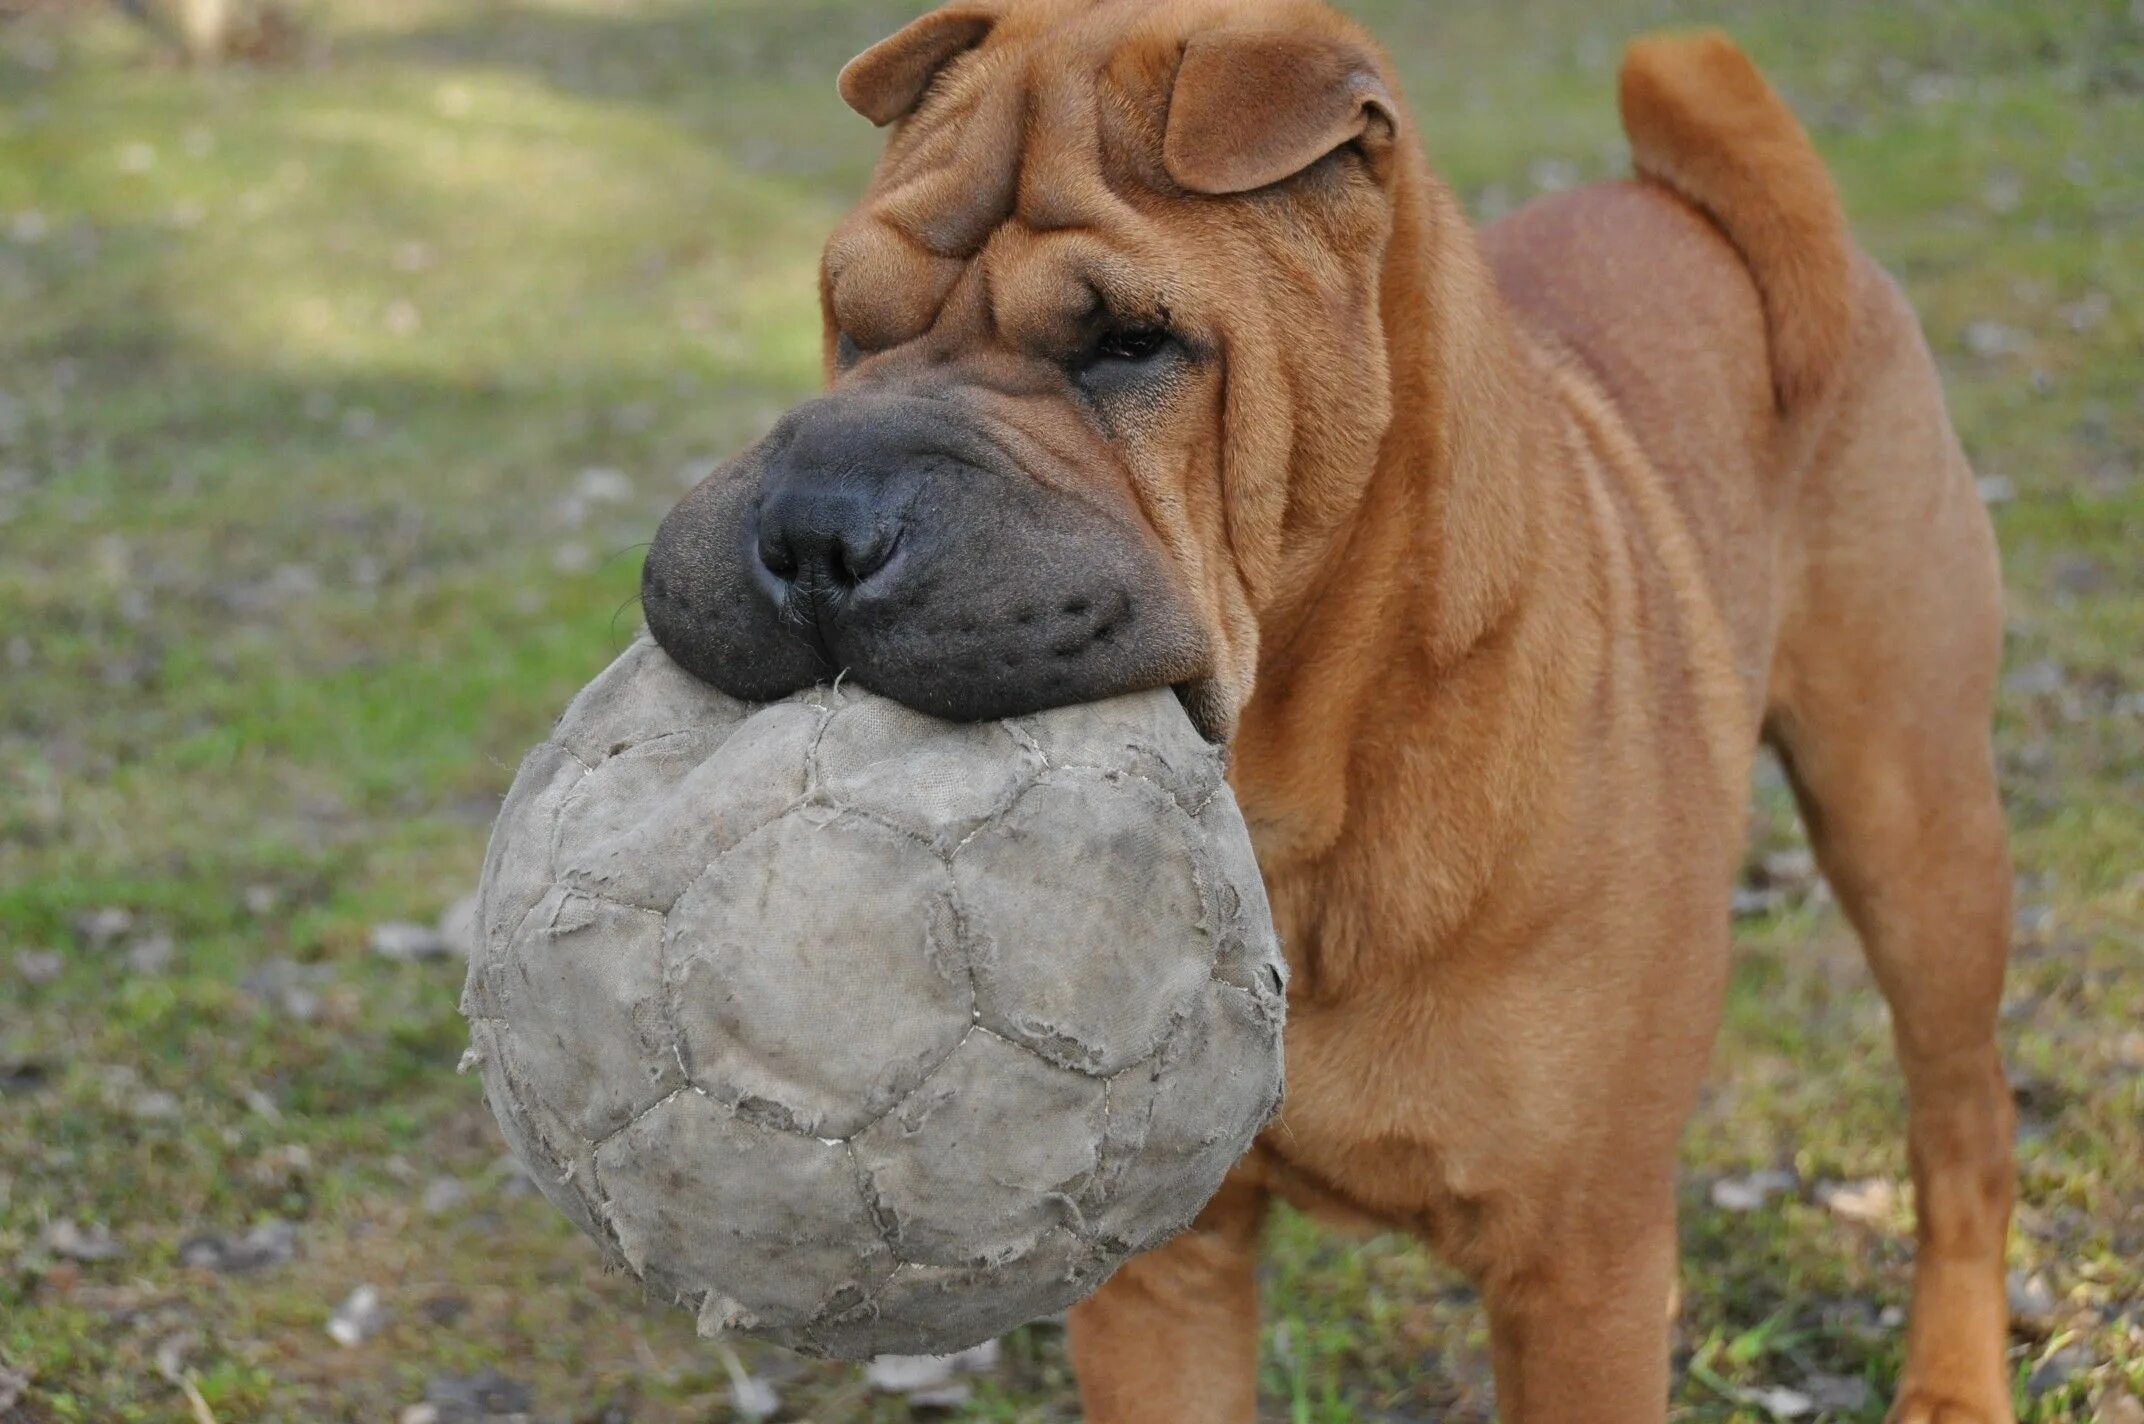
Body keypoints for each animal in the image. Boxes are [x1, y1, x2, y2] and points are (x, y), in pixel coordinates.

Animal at [643, 0, 2015, 1415]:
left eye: (1127, 343)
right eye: (851, 322)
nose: (812, 532)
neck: (1304, 795)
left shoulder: (1581, 1269)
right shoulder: (1163, 1270)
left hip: (1909, 828)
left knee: (1964, 1127)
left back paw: (1953, 1377)